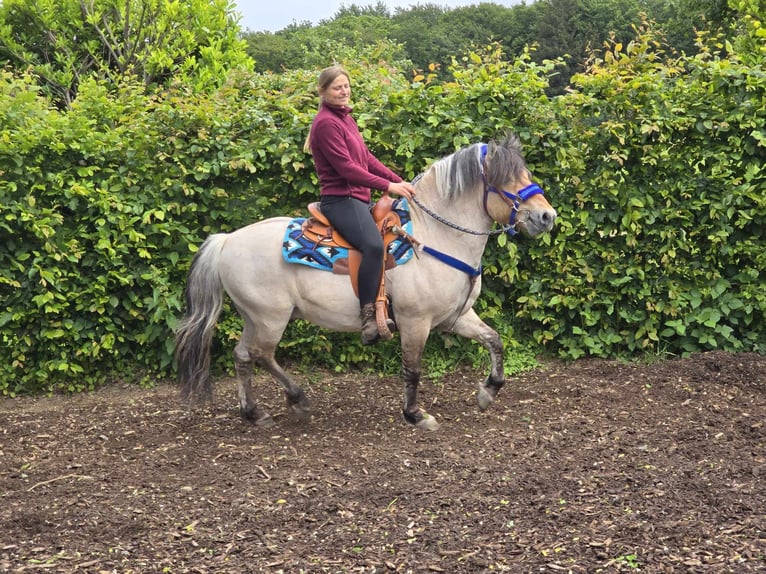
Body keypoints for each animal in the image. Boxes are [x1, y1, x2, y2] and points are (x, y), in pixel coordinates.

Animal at [175, 136, 560, 432]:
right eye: (506, 180)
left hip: (254, 318)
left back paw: (254, 412)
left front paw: (488, 391)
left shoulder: (457, 317)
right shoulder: (415, 321)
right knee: (261, 354)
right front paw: (415, 415)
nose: (547, 216)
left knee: (243, 356)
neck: (434, 235)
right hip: (271, 317)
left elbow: (495, 341)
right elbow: (412, 368)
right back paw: (297, 399)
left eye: (525, 173)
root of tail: (227, 240)